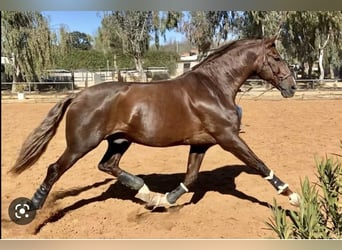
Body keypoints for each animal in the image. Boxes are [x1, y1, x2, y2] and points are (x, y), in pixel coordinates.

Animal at [10, 35, 300, 211]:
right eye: (276, 58)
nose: (292, 87)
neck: (213, 88)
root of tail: (78, 95)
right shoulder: (228, 138)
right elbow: (259, 164)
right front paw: (293, 196)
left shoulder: (202, 144)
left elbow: (191, 176)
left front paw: (164, 200)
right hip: (81, 144)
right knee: (54, 169)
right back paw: (31, 208)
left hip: (119, 140)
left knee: (107, 165)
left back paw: (145, 191)